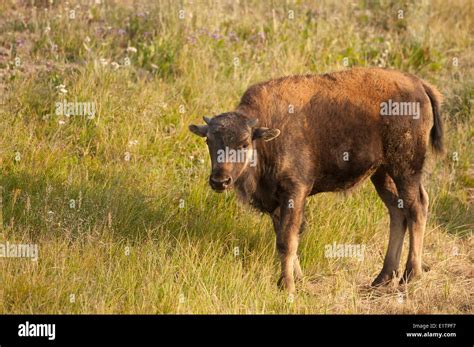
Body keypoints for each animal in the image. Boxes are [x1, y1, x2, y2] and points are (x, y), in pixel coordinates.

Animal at [190, 67, 444, 294]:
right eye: (209, 141)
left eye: (244, 143)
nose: (220, 181)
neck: (264, 137)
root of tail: (419, 84)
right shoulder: (277, 202)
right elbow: (286, 236)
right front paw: (297, 281)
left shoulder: (294, 191)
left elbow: (287, 239)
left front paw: (288, 287)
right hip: (382, 174)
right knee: (397, 212)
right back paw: (382, 278)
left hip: (405, 169)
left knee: (416, 208)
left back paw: (410, 275)